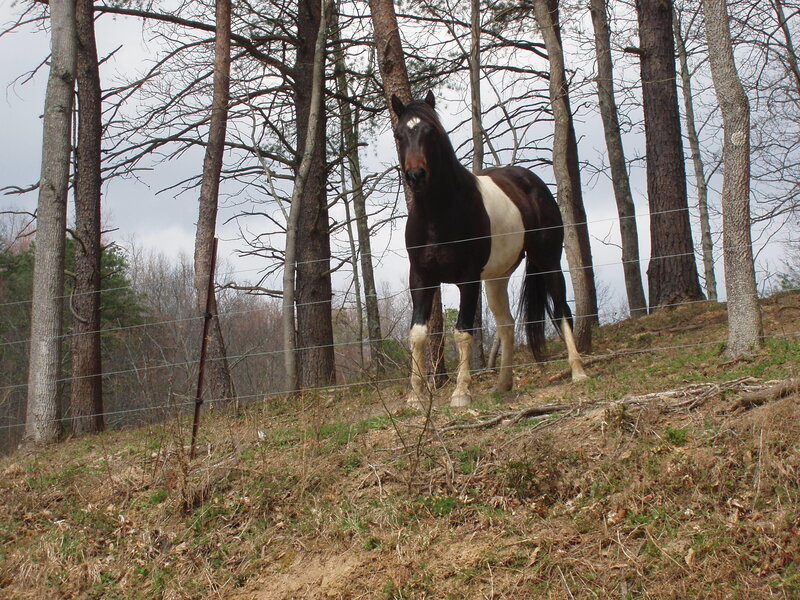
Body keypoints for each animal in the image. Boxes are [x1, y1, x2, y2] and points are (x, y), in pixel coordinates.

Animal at [391, 91, 587, 408]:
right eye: (398, 135)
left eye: (430, 131)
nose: (416, 175)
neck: (438, 213)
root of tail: (533, 182)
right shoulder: (421, 278)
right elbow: (418, 334)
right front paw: (416, 399)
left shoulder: (468, 280)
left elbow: (463, 333)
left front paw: (461, 393)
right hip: (497, 279)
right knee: (506, 325)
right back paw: (504, 383)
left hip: (548, 262)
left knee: (561, 310)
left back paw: (578, 370)